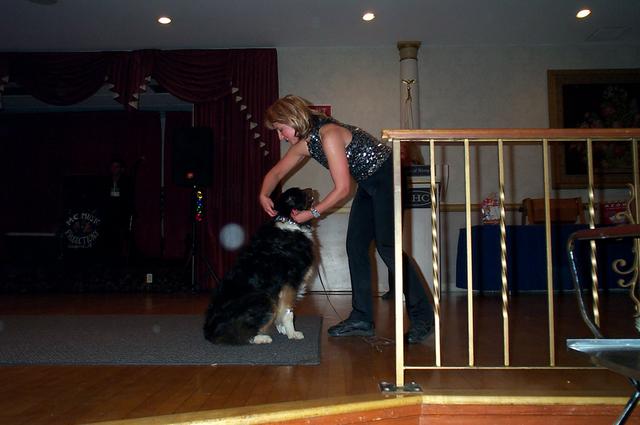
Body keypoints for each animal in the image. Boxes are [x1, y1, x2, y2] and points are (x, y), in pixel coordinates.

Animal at [203, 187, 317, 345]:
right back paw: (261, 337)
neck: (289, 219)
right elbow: (288, 312)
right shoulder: (291, 281)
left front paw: (282, 328)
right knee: (240, 333)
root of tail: (209, 332)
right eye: (299, 193)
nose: (312, 189)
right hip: (264, 298)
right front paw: (292, 333)